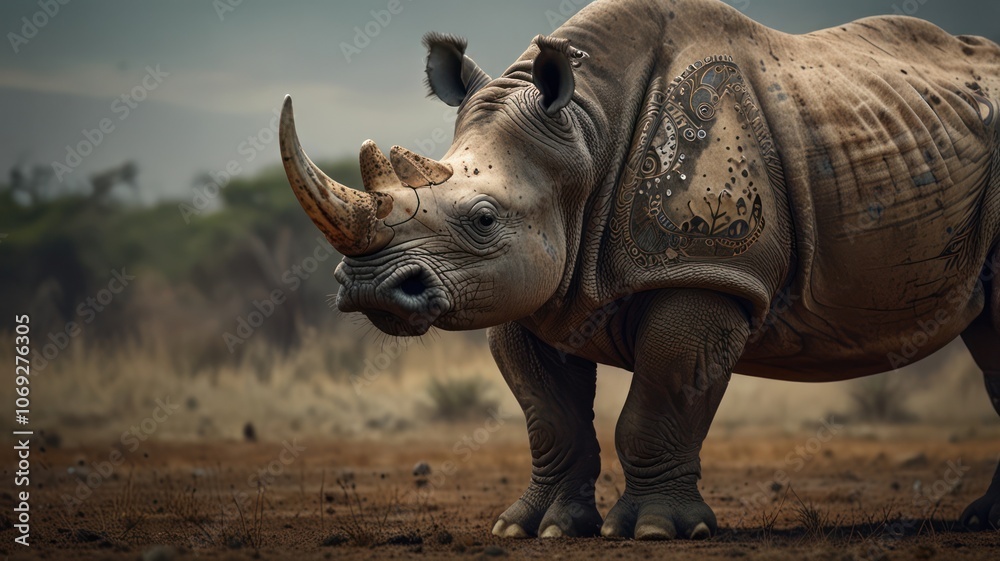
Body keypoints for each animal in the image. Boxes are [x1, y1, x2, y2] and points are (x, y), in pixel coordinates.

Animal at [278, 0, 1000, 540]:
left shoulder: (704, 268)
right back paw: (981, 520)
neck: (583, 131)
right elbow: (550, 415)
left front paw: (655, 530)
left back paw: (978, 521)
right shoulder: (528, 287)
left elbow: (663, 394)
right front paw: (536, 529)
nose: (371, 287)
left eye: (483, 218)